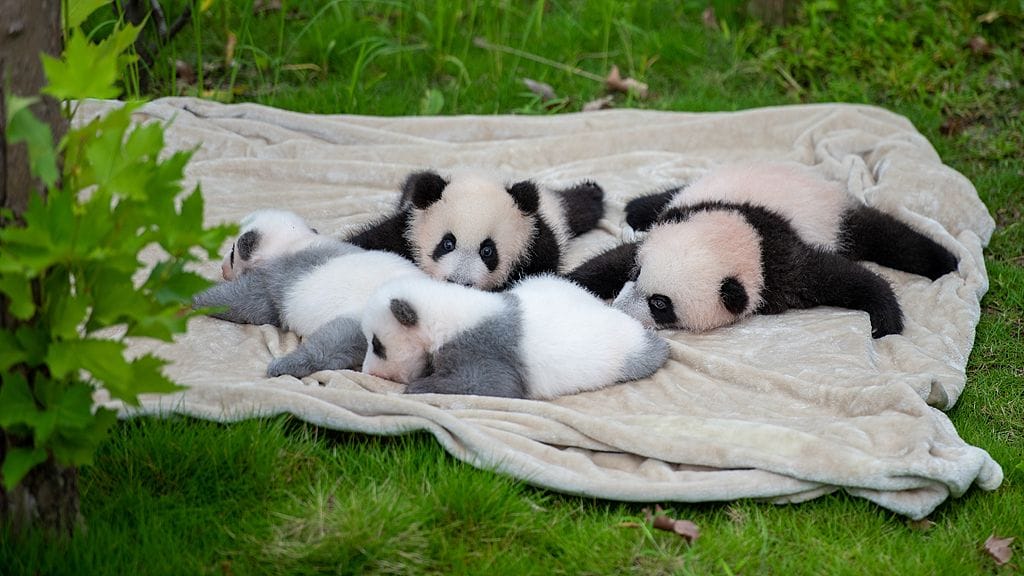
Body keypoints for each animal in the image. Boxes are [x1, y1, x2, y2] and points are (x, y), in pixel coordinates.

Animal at [193, 211, 427, 378]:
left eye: (233, 253)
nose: (222, 268)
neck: (294, 241)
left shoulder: (275, 278)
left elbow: (242, 302)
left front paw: (195, 296)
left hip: (370, 322)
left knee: (330, 346)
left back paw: (285, 365)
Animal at [346, 170, 606, 291]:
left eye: (487, 251)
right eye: (447, 243)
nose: (459, 282)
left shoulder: (536, 247)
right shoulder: (406, 229)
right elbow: (370, 241)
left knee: (576, 207)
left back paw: (591, 193)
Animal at [359, 275, 669, 399]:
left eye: (377, 345)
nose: (367, 372)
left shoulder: (484, 349)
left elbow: (489, 385)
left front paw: (420, 386)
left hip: (622, 350)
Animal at [567, 162, 959, 339]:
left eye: (660, 304)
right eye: (636, 275)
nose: (620, 311)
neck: (741, 232)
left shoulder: (779, 260)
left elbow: (840, 276)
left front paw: (884, 320)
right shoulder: (684, 220)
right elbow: (611, 261)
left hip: (837, 217)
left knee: (884, 233)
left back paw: (945, 261)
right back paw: (637, 209)